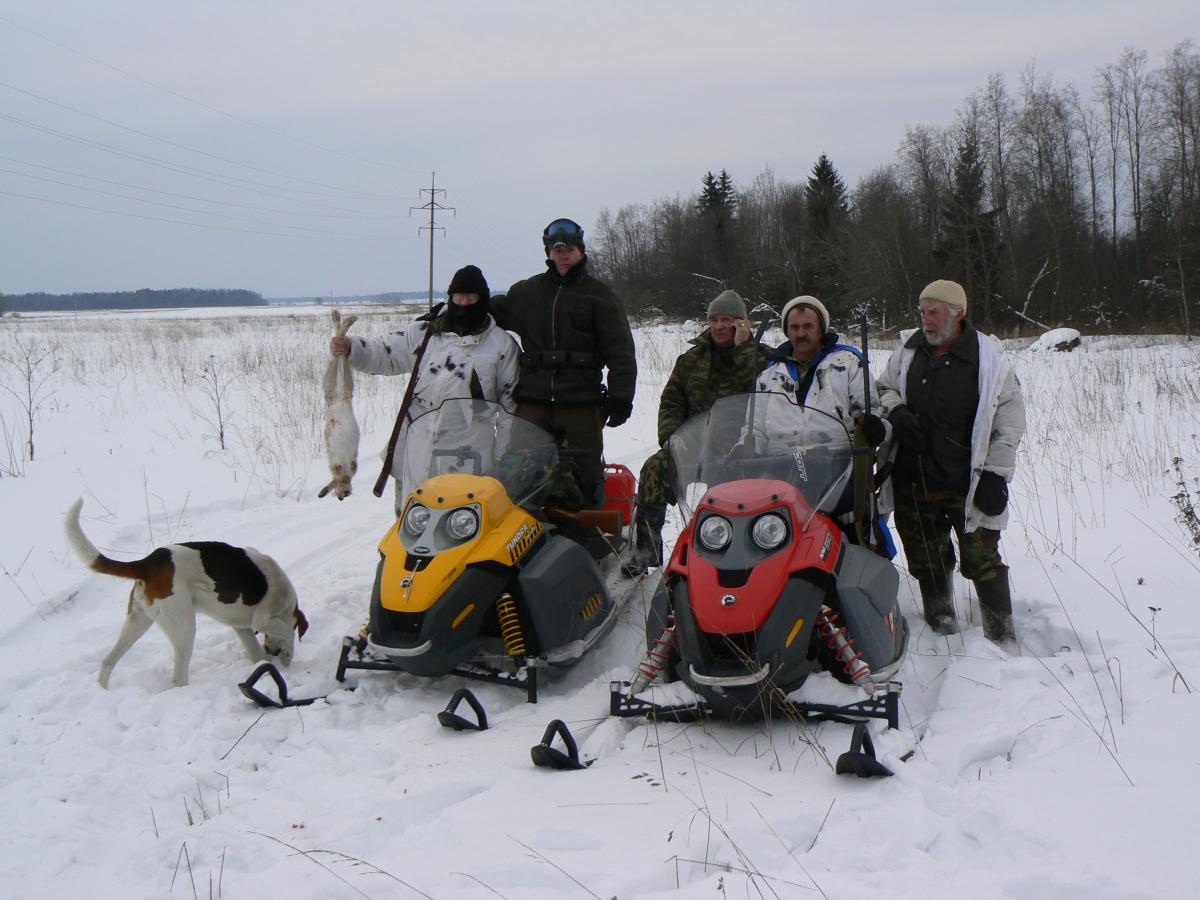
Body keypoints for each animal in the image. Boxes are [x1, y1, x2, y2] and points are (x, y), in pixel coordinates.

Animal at [65, 501, 309, 691]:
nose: (272, 650)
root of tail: (149, 562)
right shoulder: (263, 619)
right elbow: (288, 632)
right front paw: (287, 656)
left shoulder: (241, 626)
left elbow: (257, 654)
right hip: (184, 626)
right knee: (178, 678)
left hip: (137, 621)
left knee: (107, 661)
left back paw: (102, 691)